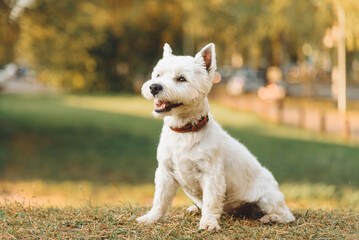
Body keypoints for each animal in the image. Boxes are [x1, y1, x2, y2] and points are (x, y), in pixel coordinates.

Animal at [138, 43, 296, 231]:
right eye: (158, 75)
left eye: (181, 79)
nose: (154, 87)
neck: (185, 131)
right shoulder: (165, 173)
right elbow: (160, 200)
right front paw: (151, 218)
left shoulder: (211, 174)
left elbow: (211, 201)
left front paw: (208, 223)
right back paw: (195, 208)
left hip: (267, 197)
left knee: (287, 215)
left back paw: (271, 218)